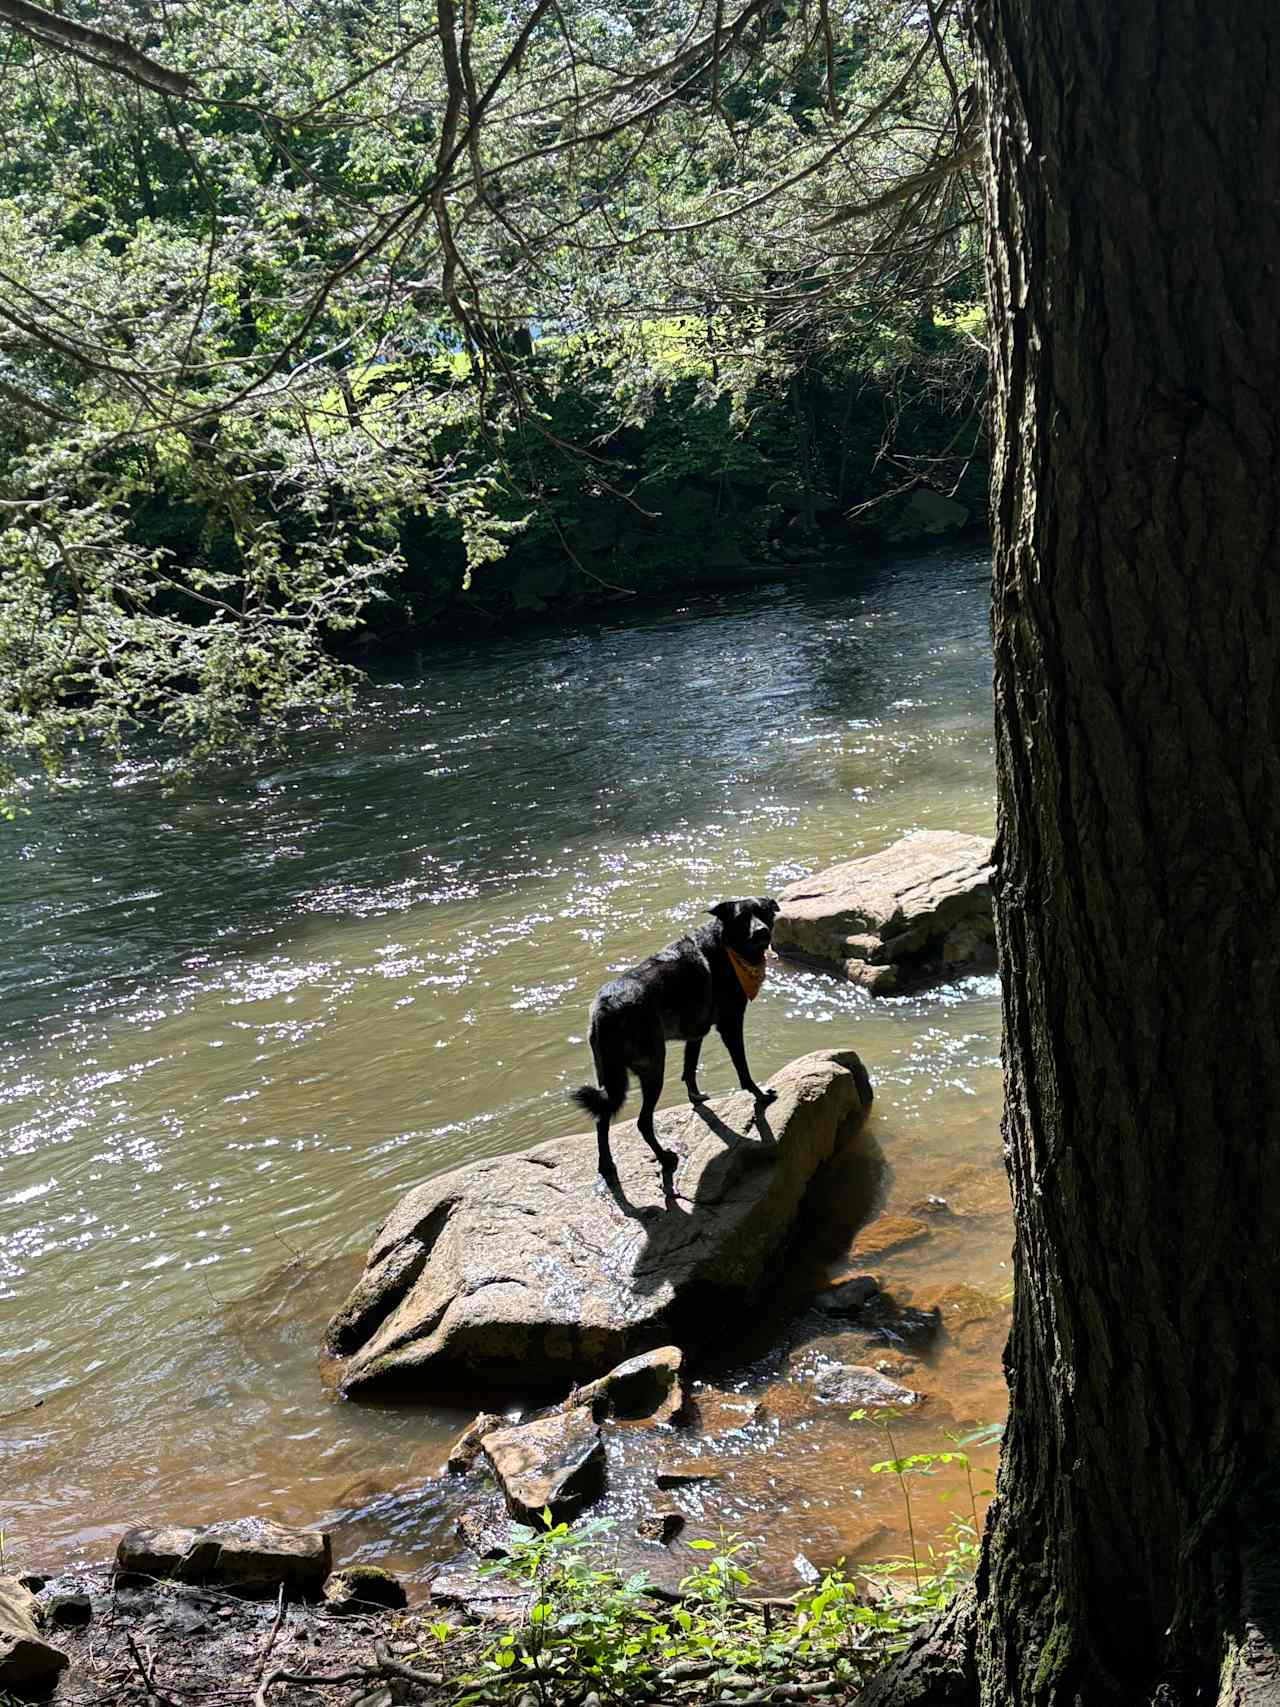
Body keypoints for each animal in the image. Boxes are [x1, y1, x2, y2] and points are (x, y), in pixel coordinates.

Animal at [573, 901, 781, 1181]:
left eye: (763, 913)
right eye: (741, 918)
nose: (761, 932)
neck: (724, 947)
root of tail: (606, 1009)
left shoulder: (695, 1034)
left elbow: (689, 1069)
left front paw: (696, 1097)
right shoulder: (730, 1025)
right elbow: (743, 1070)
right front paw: (760, 1095)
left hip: (609, 1077)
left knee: (602, 1118)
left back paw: (607, 1166)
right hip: (653, 1068)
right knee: (642, 1122)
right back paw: (664, 1158)